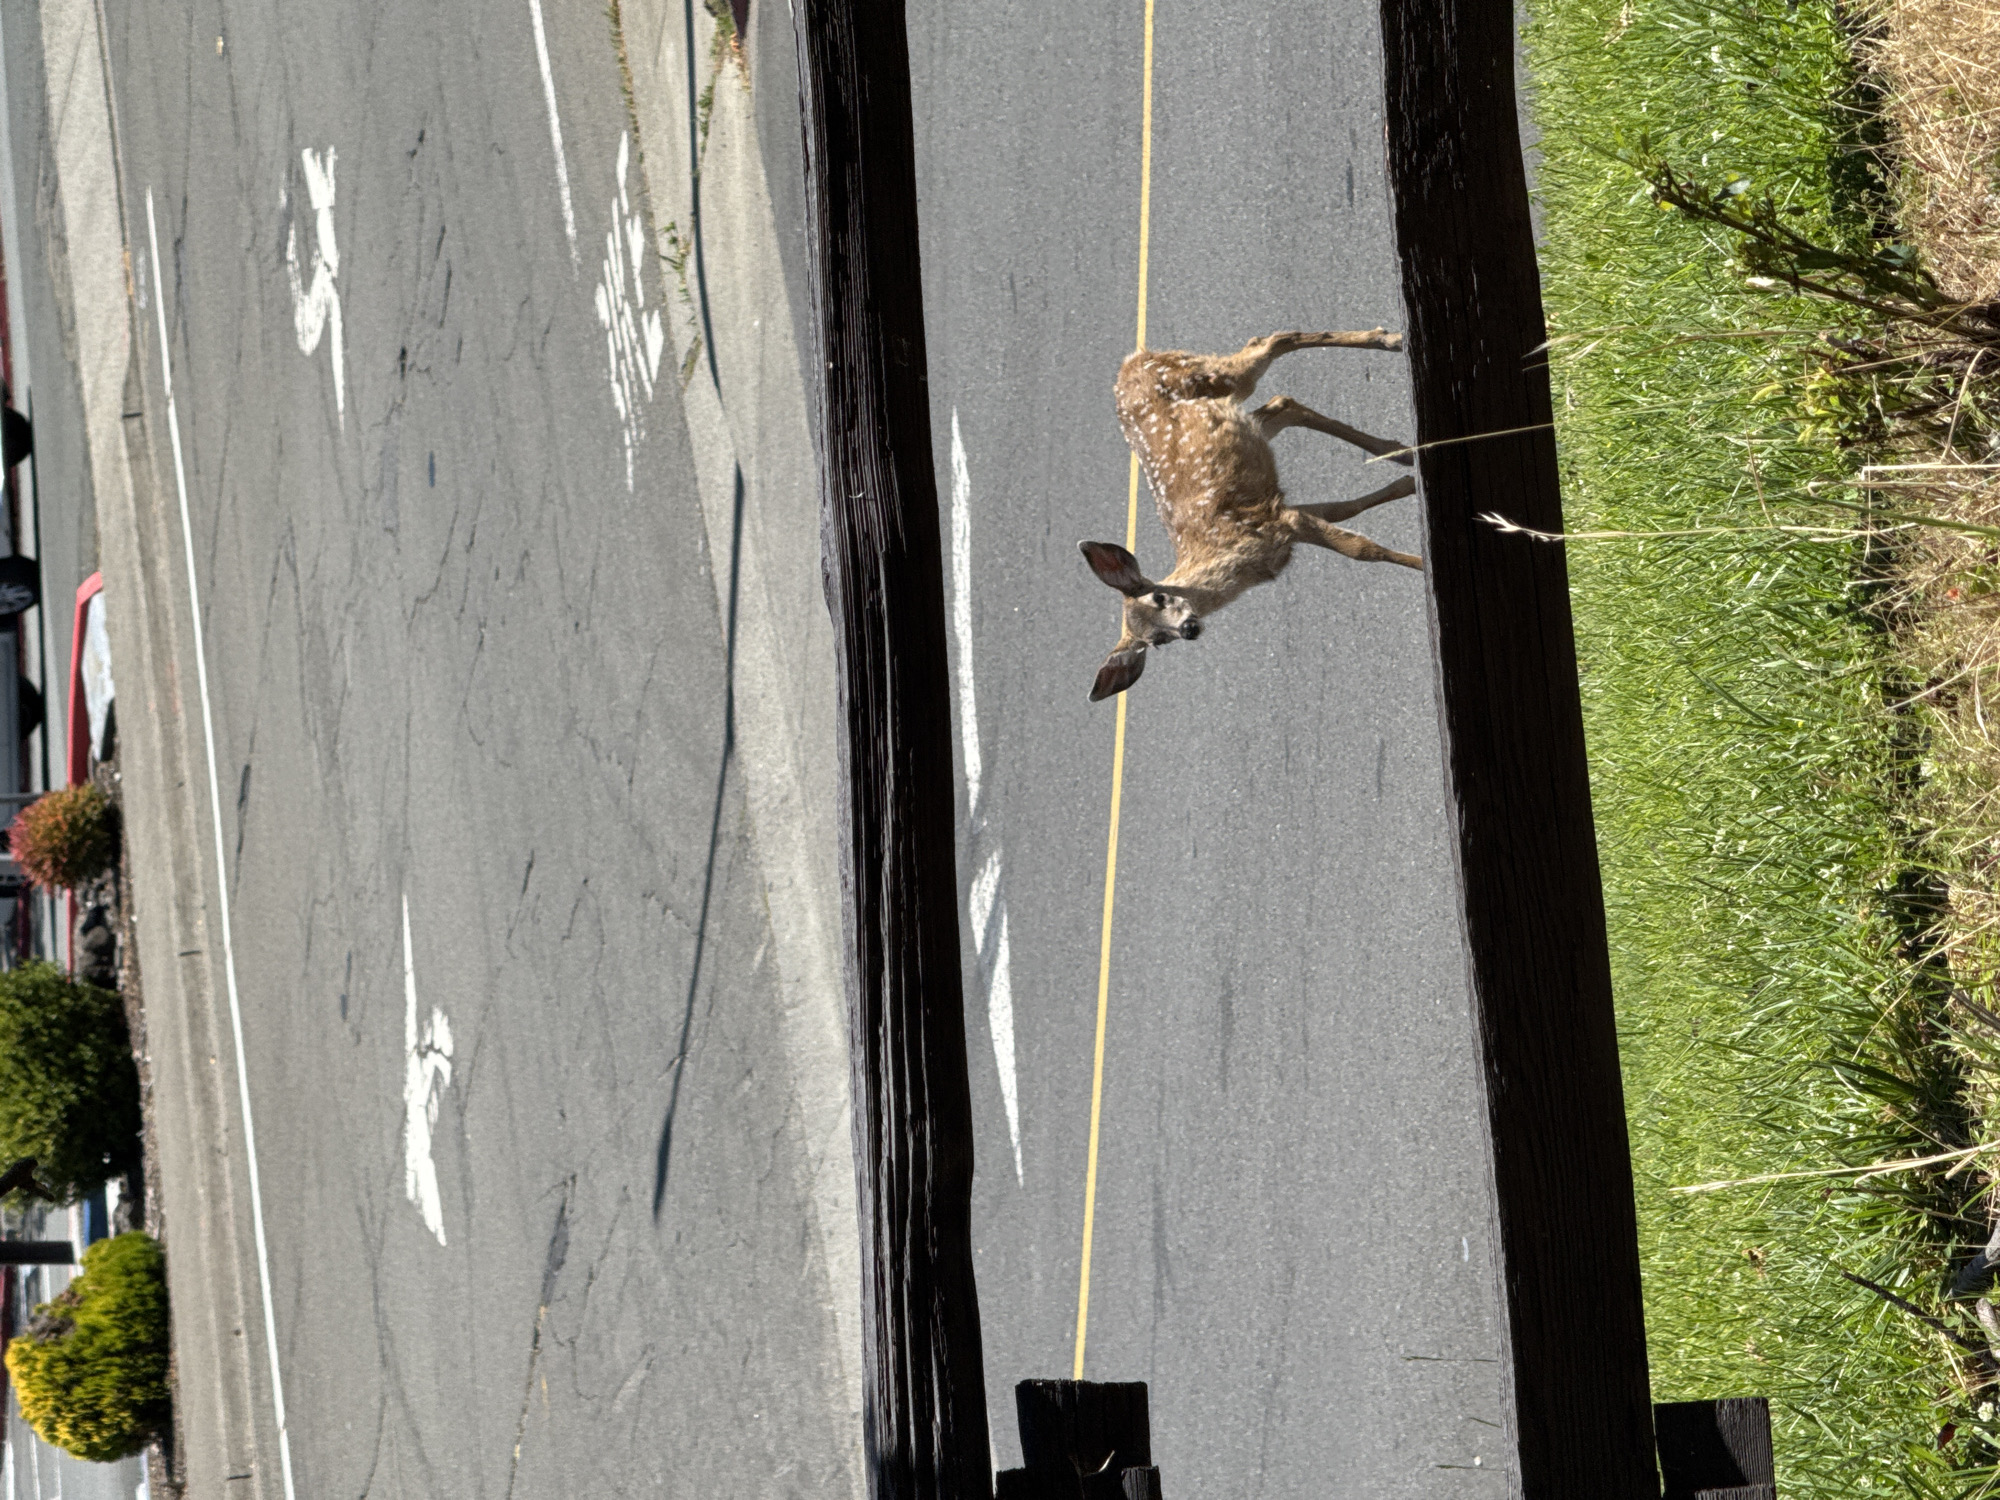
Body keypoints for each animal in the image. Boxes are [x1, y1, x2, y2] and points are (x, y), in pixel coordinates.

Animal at [1080, 329, 1420, 701]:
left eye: (1159, 596)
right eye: (1157, 641)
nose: (1189, 628)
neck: (1235, 560)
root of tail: (1131, 361)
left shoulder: (1278, 523)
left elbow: (1364, 549)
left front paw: (1421, 564)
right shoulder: (1279, 516)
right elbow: (1346, 509)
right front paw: (1408, 484)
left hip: (1213, 376)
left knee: (1271, 342)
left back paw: (1390, 341)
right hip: (1240, 412)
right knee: (1281, 404)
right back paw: (1398, 451)